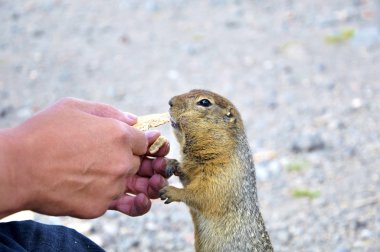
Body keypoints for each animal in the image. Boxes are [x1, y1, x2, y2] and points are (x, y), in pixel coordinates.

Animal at [160, 89, 274, 251]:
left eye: (204, 102)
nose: (170, 101)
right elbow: (187, 177)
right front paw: (172, 163)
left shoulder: (222, 174)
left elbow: (203, 193)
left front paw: (171, 191)